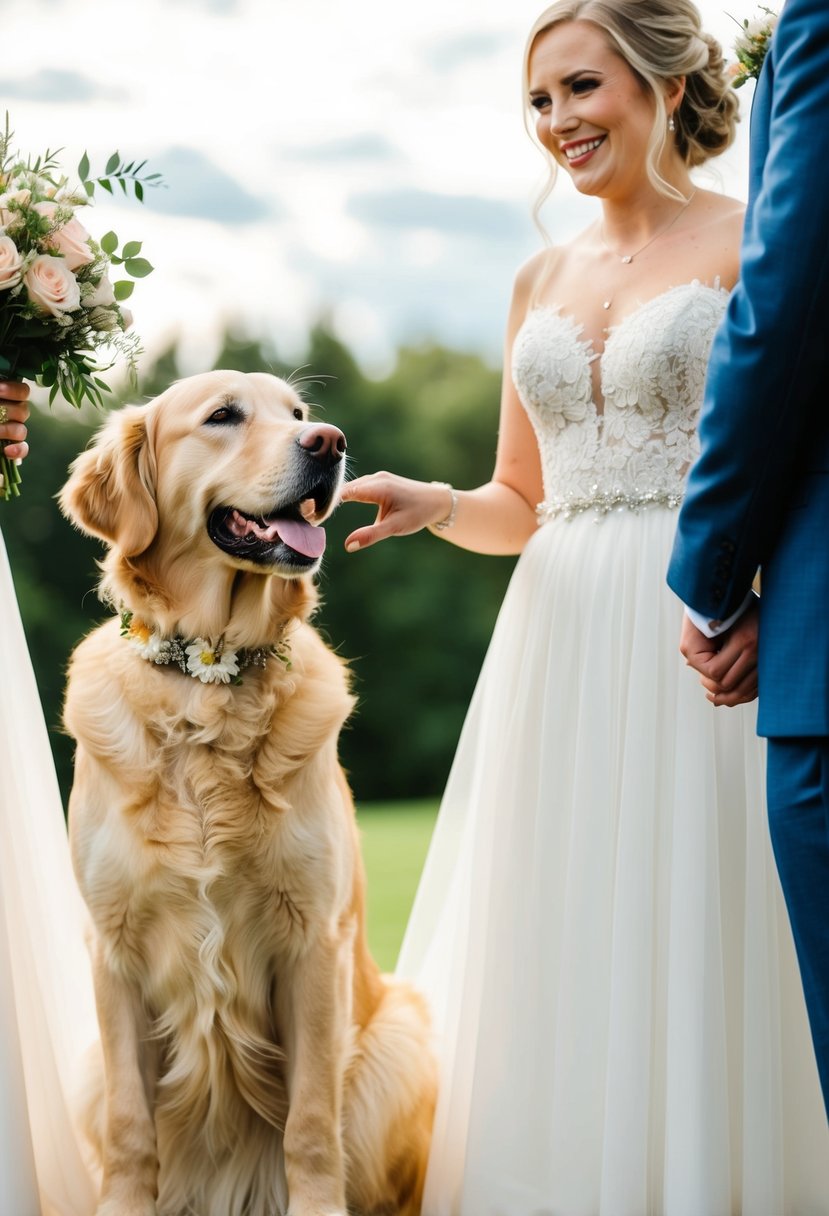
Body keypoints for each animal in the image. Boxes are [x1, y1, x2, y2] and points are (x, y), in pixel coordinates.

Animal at [60, 369, 435, 1216]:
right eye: (223, 416)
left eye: (297, 414)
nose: (329, 443)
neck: (207, 680)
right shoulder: (112, 947)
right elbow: (133, 1127)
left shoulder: (312, 942)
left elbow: (311, 1124)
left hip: (399, 1039)